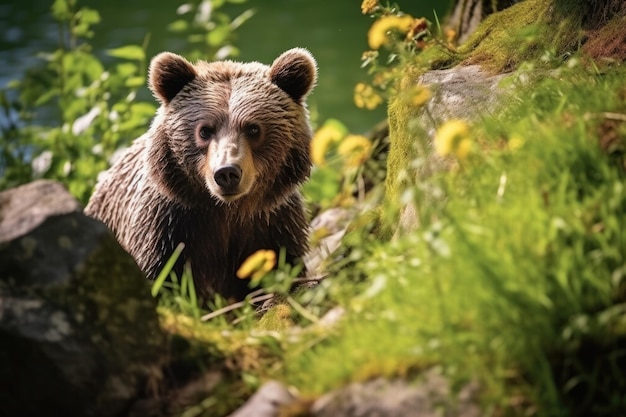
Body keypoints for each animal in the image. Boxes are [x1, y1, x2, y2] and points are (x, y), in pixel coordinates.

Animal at [84, 48, 316, 302]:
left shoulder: (273, 226)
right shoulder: (166, 229)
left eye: (253, 128)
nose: (227, 172)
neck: (226, 211)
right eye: (205, 130)